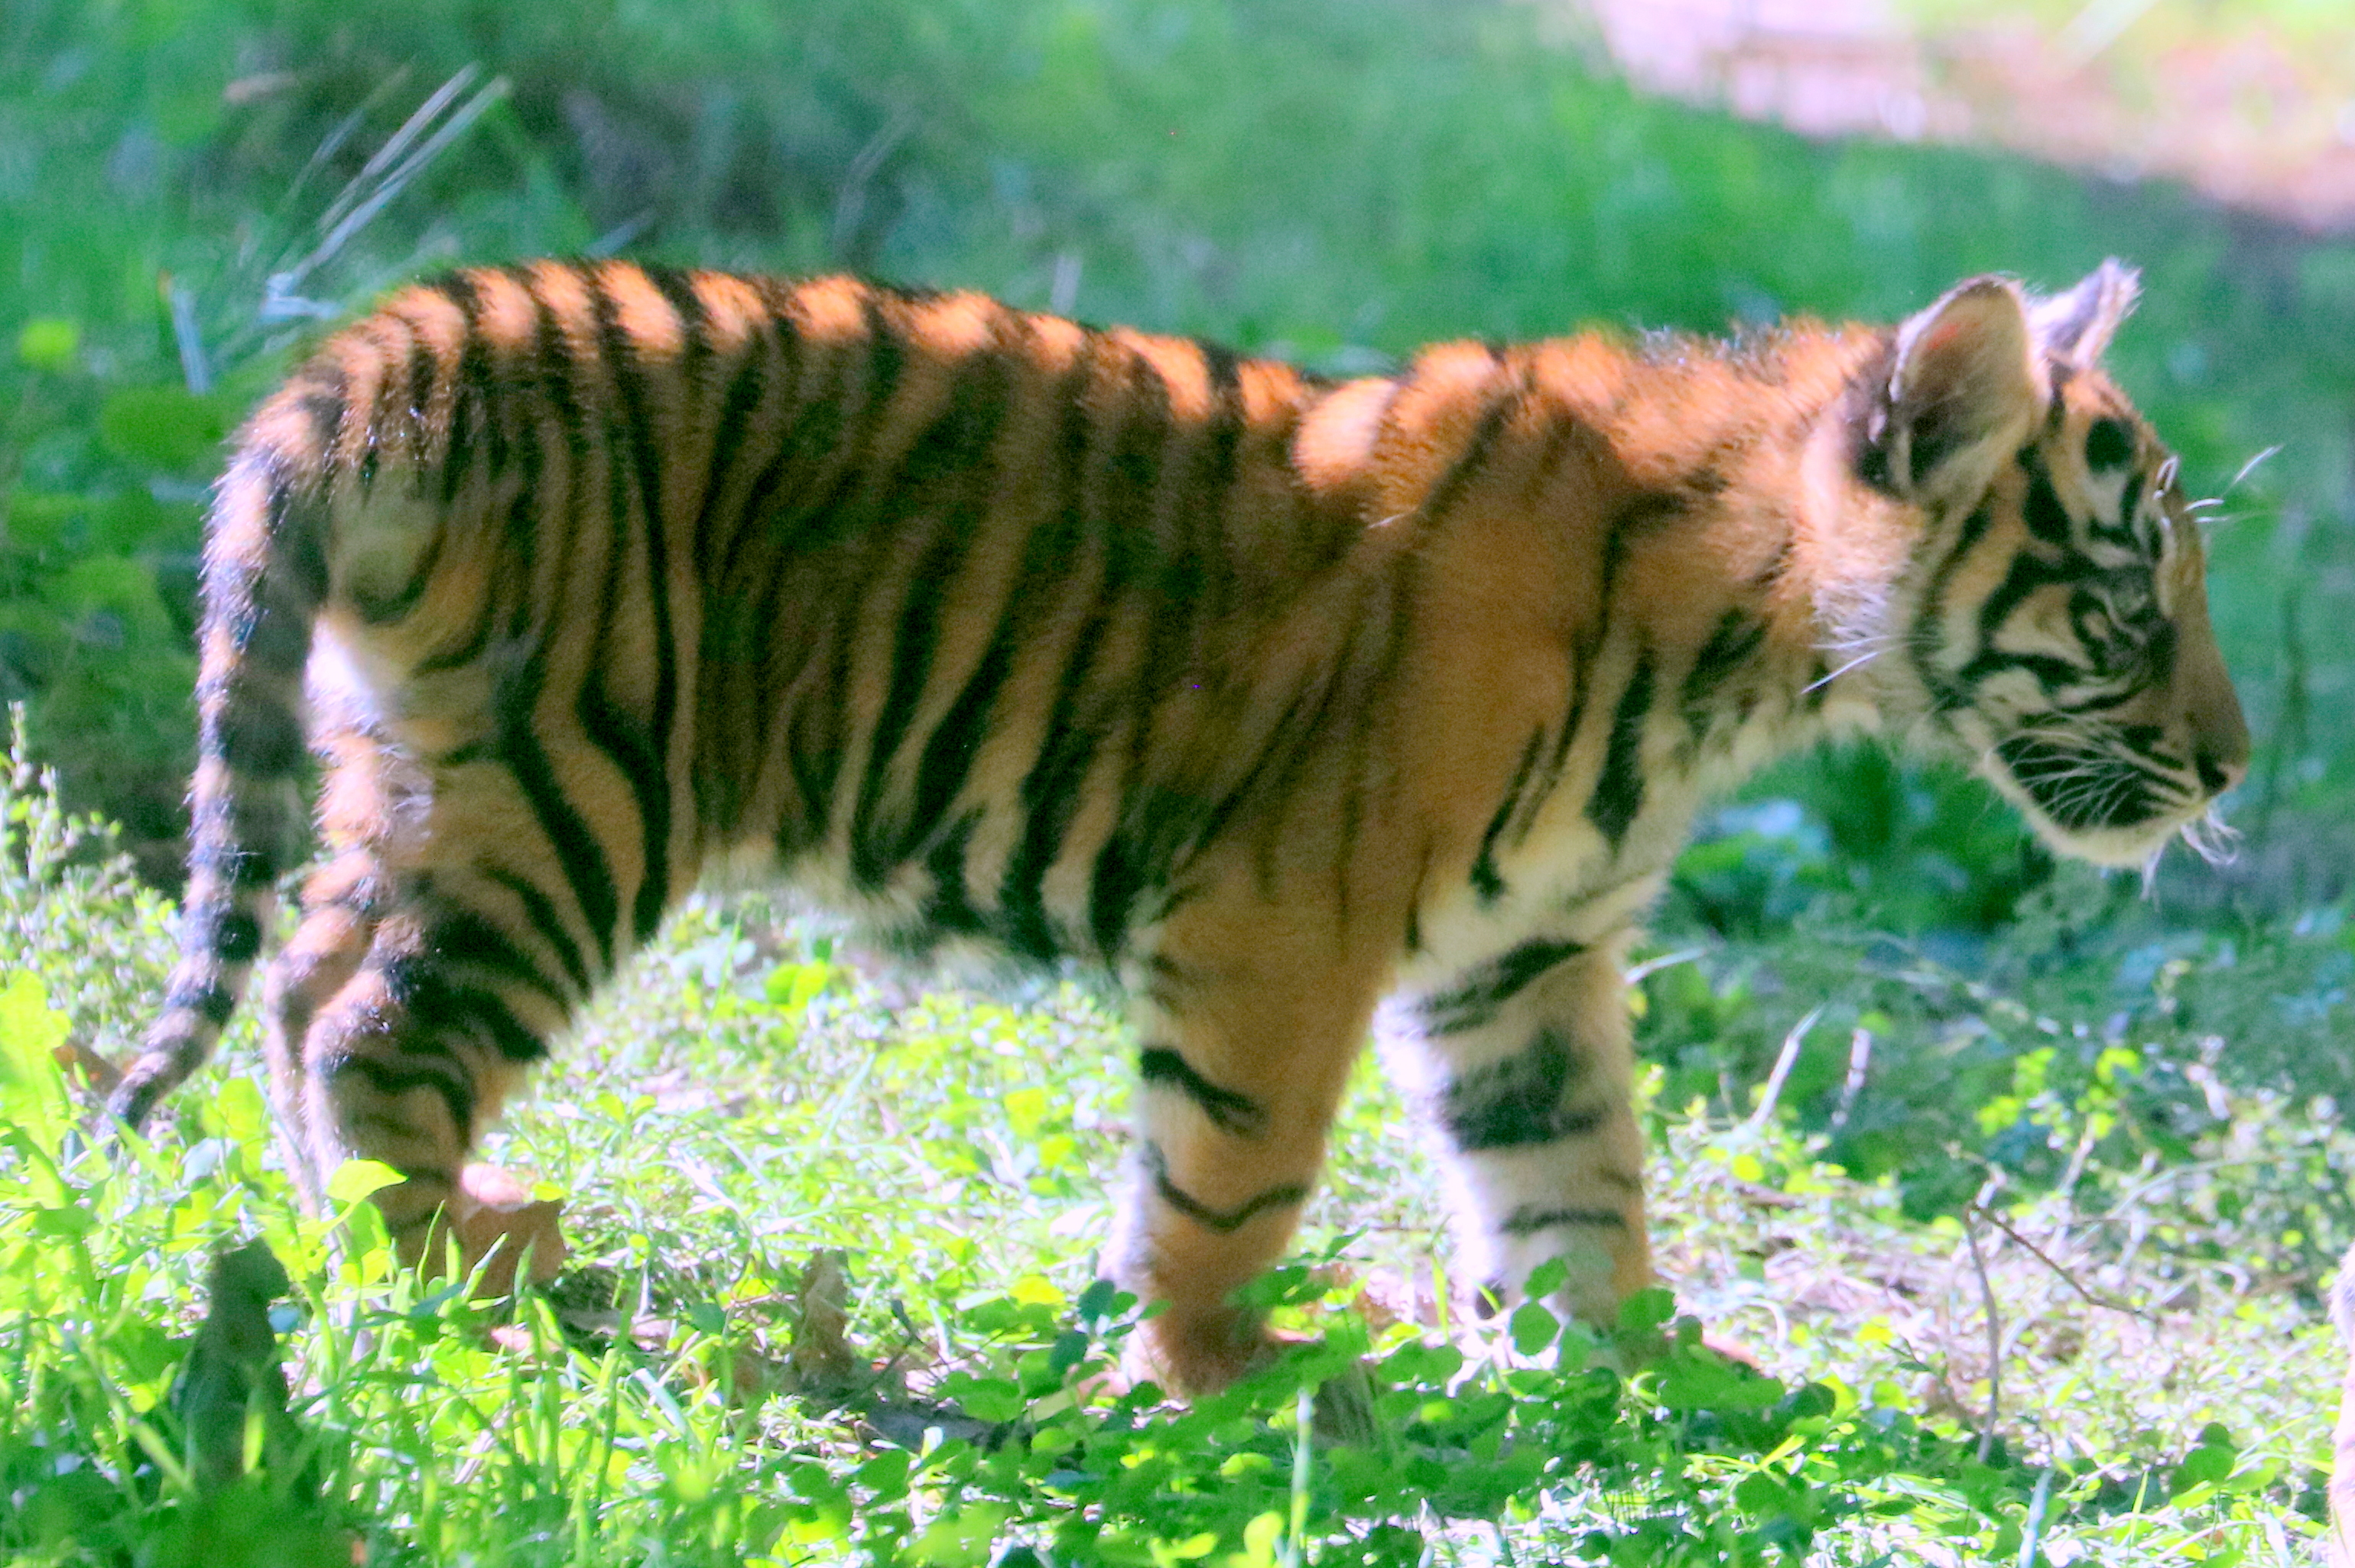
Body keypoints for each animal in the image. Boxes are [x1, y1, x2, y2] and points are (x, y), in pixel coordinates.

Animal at [110, 257, 2247, 1395]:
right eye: (2130, 598)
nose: (2233, 766)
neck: (1748, 643)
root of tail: (412, 339)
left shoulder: (1524, 956)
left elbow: (1573, 1169)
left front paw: (1638, 1362)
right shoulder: (1284, 919)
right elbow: (1233, 1174)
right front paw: (1231, 1374)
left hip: (424, 776)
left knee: (299, 983)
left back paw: (359, 1238)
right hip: (583, 787)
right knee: (368, 1026)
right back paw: (469, 1275)